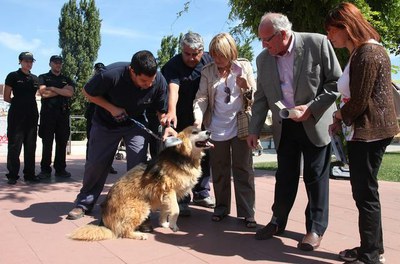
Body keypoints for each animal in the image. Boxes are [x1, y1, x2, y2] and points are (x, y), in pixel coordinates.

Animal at [69, 127, 212, 240]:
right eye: (194, 132)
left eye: (200, 129)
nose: (209, 132)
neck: (182, 157)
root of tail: (105, 223)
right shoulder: (169, 190)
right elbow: (175, 209)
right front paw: (173, 225)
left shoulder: (165, 194)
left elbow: (165, 210)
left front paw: (164, 223)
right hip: (141, 206)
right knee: (123, 231)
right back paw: (139, 235)